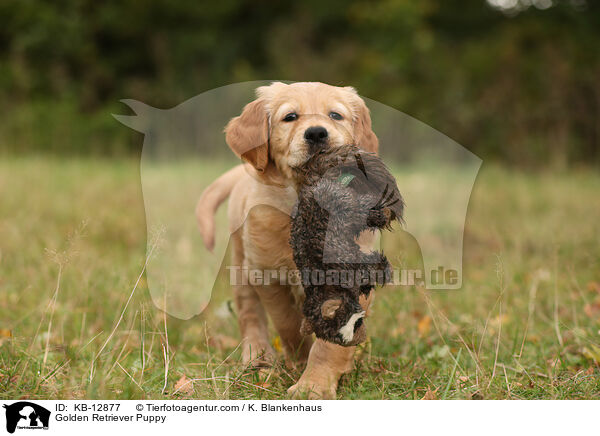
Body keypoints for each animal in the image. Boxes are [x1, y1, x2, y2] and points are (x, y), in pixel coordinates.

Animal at [195, 82, 378, 398]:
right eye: (290, 116)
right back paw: (258, 361)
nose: (316, 133)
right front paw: (301, 363)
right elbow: (287, 322)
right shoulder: (268, 274)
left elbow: (332, 343)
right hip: (242, 267)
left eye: (335, 115)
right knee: (250, 316)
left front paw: (314, 385)